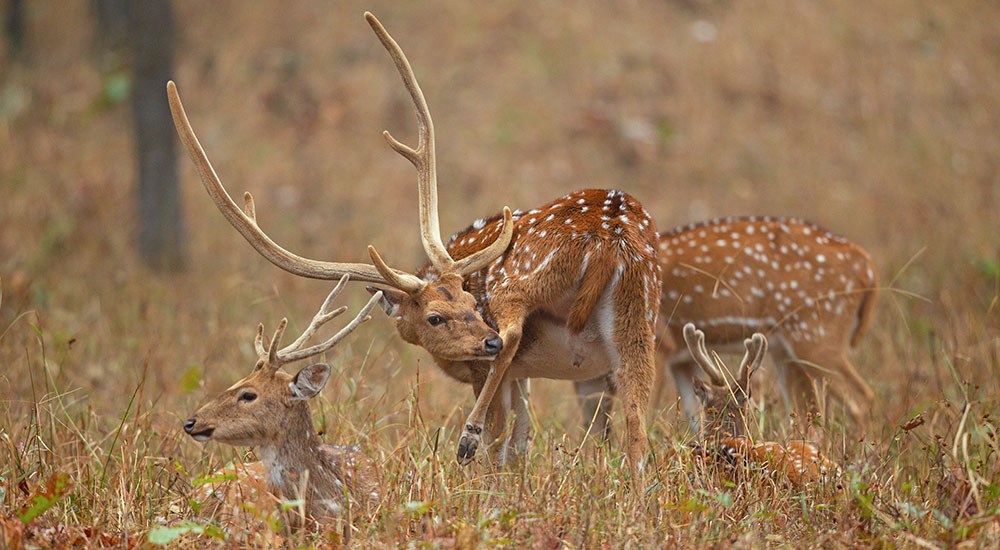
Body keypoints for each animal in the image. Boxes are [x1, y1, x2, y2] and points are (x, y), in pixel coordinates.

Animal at [172, 12, 664, 478]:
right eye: (439, 314)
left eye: (465, 303)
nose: (481, 337)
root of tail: (607, 236)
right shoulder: (524, 376)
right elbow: (521, 442)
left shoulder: (489, 366)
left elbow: (504, 439)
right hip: (638, 313)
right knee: (637, 423)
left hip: (522, 281)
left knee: (512, 339)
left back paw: (467, 436)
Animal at [576, 216, 880, 440]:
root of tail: (867, 267)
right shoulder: (680, 358)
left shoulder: (660, 343)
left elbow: (641, 413)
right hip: (789, 348)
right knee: (811, 414)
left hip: (816, 333)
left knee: (861, 398)